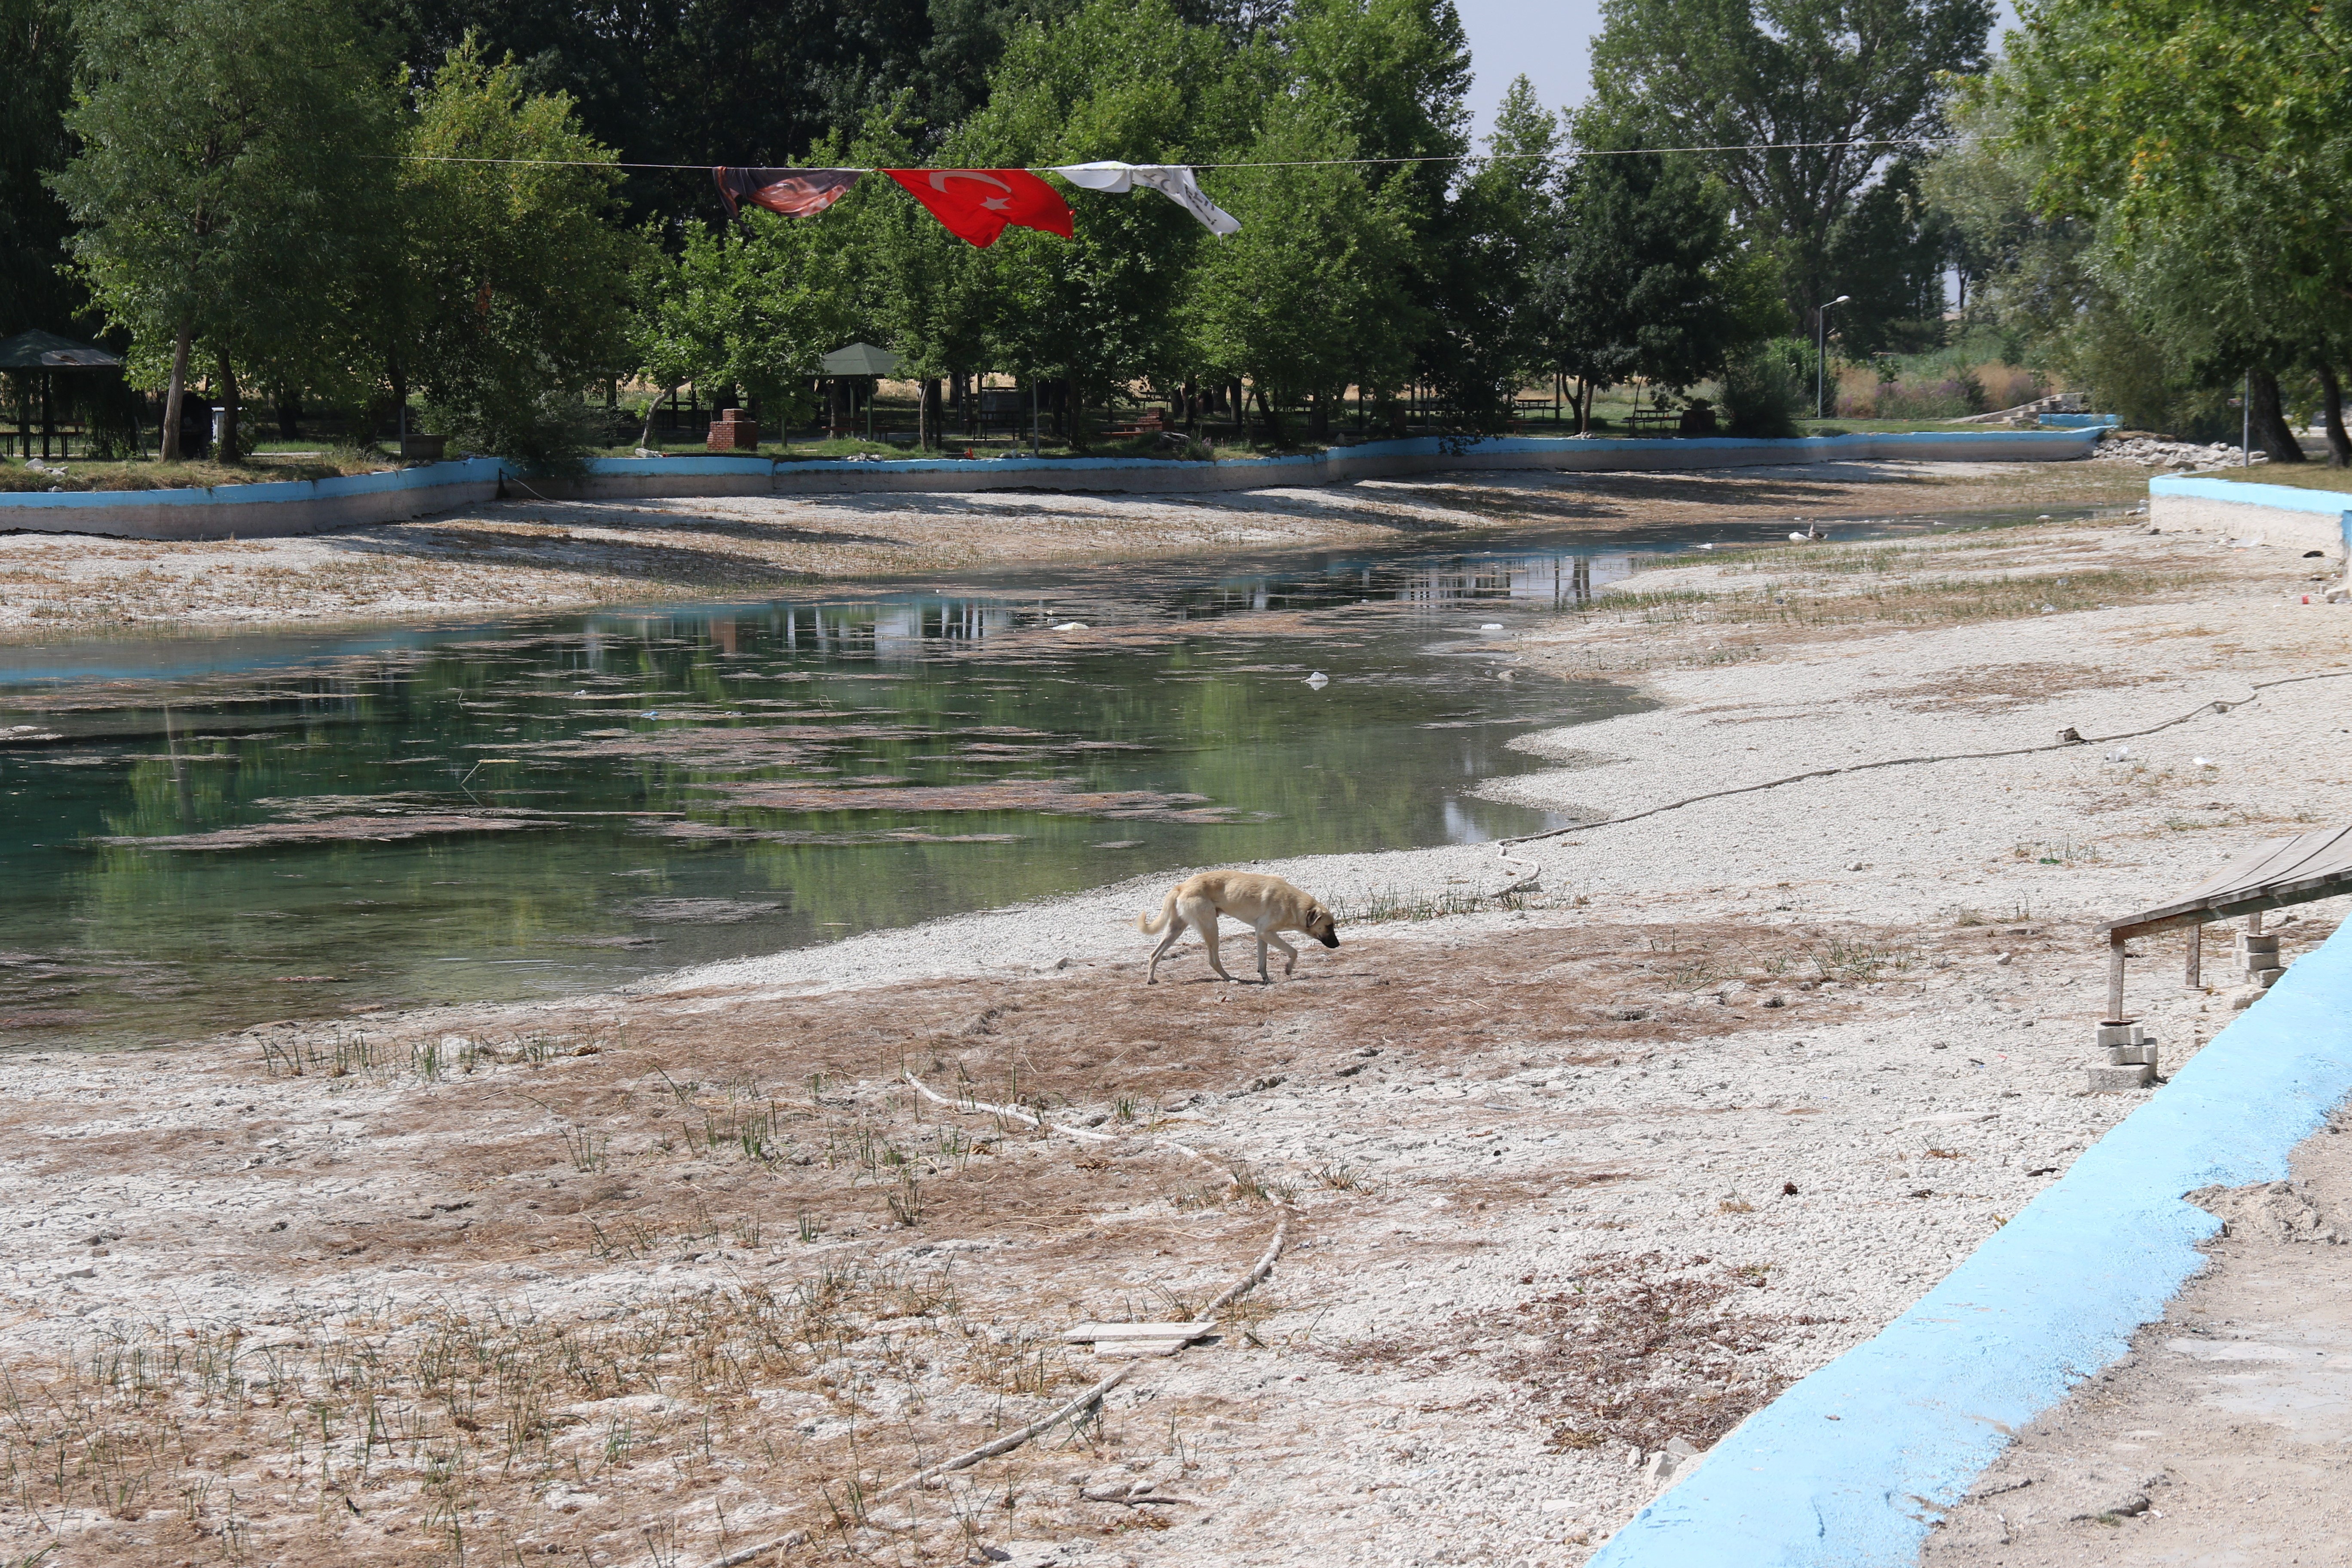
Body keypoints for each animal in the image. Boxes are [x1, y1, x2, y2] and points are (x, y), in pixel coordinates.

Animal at [1138, 870, 1345, 983]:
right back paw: (1230, 979)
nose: (1338, 945)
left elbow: (1263, 962)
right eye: (1329, 926)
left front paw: (1266, 979)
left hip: (1175, 929)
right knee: (1213, 961)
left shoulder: (1262, 935)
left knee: (1154, 954)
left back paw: (1150, 979)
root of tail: (1181, 886)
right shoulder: (1267, 933)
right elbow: (1294, 951)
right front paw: (1287, 969)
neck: (1293, 904)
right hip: (1211, 928)